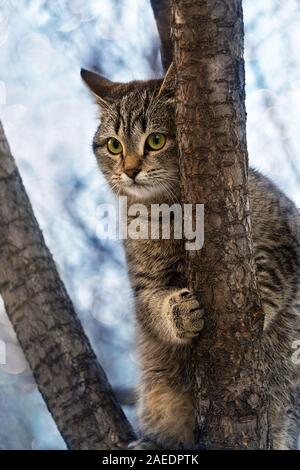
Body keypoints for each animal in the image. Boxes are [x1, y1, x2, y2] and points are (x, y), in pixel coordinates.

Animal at [81, 64, 300, 450]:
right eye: (114, 145)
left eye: (155, 140)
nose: (130, 170)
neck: (170, 213)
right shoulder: (146, 285)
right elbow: (155, 307)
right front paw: (179, 313)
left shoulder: (284, 237)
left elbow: (270, 273)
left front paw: (258, 303)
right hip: (160, 394)